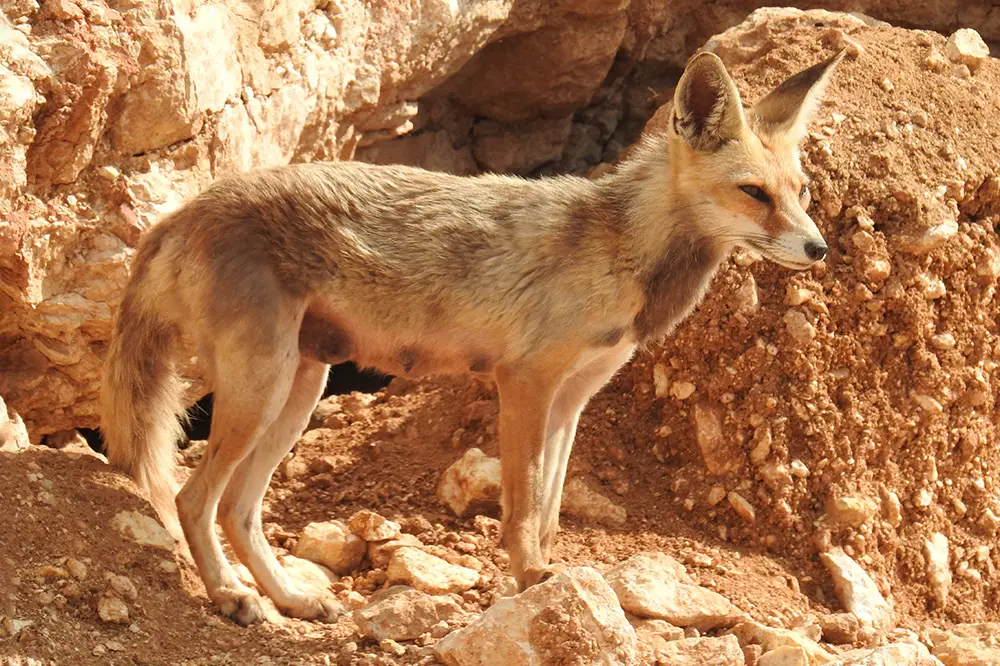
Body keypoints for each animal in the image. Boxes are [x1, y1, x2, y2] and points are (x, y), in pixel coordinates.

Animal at [99, 48, 844, 624]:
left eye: (802, 190)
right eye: (753, 193)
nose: (819, 248)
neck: (623, 250)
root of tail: (180, 213)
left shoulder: (573, 398)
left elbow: (550, 509)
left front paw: (552, 576)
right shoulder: (525, 382)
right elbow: (521, 509)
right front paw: (531, 581)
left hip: (300, 389)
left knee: (239, 510)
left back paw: (291, 598)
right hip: (263, 389)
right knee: (194, 500)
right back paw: (231, 598)